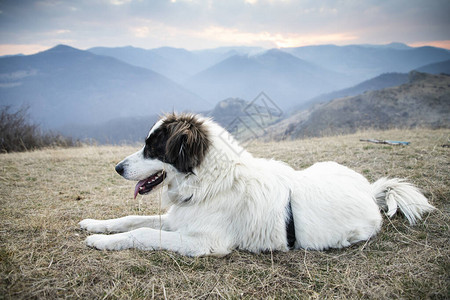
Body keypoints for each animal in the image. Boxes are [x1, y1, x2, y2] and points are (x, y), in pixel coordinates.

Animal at [79, 112, 434, 255]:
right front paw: (95, 225)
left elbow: (142, 233)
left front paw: (100, 242)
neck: (209, 180)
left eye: (152, 147)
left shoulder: (204, 242)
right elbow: (131, 219)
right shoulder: (180, 219)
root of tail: (369, 191)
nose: (117, 168)